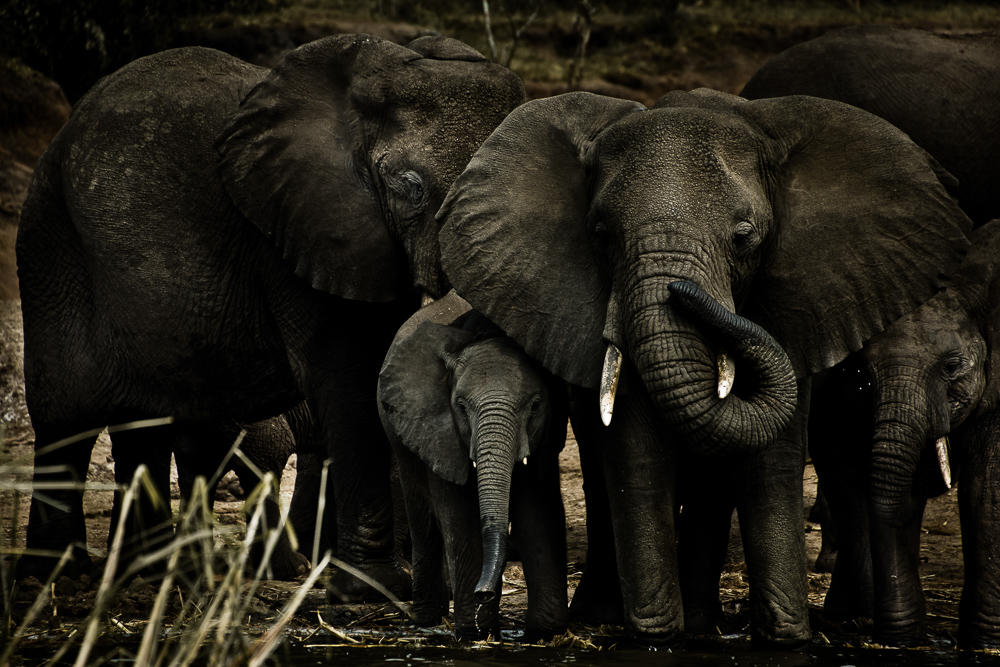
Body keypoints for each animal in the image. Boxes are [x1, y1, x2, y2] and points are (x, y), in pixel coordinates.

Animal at [14, 33, 525, 598]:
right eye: (410, 187)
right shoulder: (297, 228)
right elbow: (350, 379)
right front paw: (375, 588)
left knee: (146, 420)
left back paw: (147, 573)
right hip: (48, 241)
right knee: (65, 411)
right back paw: (56, 575)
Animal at [378, 290, 569, 639]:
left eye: (536, 406)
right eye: (462, 407)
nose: (485, 592)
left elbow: (538, 509)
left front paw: (545, 631)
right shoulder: (440, 431)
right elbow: (459, 515)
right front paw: (475, 631)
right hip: (399, 438)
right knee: (423, 519)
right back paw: (427, 620)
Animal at [435, 88, 972, 646]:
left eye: (744, 237)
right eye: (602, 235)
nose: (682, 291)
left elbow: (772, 453)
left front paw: (785, 640)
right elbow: (634, 448)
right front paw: (655, 638)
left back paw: (702, 623)